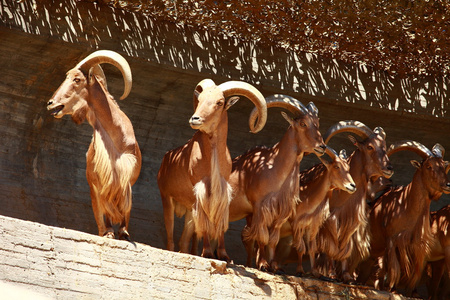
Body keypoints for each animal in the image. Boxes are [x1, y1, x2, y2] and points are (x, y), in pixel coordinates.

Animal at [46, 50, 140, 240]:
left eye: (77, 79)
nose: (51, 104)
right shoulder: (100, 181)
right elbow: (104, 208)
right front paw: (109, 233)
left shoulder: (126, 177)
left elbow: (125, 206)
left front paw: (124, 232)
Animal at [156, 78, 266, 262]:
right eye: (199, 100)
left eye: (219, 102)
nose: (195, 119)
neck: (213, 158)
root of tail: (166, 159)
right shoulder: (202, 189)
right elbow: (207, 222)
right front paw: (207, 252)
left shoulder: (222, 191)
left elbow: (220, 222)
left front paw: (224, 255)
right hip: (167, 200)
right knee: (170, 237)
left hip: (189, 210)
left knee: (183, 240)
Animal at [230, 94, 326, 272]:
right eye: (303, 124)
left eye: (317, 123)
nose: (322, 146)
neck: (274, 167)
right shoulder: (261, 207)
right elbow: (262, 237)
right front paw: (263, 264)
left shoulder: (281, 212)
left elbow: (273, 239)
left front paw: (274, 265)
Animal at [316, 120, 394, 282]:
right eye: (370, 147)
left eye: (384, 146)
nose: (389, 168)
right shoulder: (330, 220)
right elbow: (331, 244)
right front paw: (331, 273)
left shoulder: (351, 220)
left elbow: (346, 245)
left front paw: (347, 275)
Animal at [368, 141, 448, 292]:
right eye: (429, 166)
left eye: (444, 166)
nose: (447, 185)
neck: (405, 206)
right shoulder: (391, 240)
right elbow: (392, 270)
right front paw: (388, 288)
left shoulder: (412, 245)